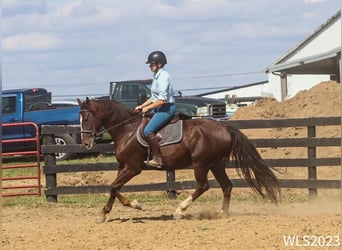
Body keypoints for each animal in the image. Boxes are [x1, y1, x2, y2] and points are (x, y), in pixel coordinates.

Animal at [77, 97, 280, 223]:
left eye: (86, 118)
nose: (86, 143)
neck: (126, 130)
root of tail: (224, 127)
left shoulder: (133, 168)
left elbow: (113, 186)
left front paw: (107, 213)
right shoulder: (123, 166)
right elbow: (115, 188)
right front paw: (128, 206)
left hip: (201, 164)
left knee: (203, 186)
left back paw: (180, 211)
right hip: (216, 164)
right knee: (227, 186)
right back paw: (222, 213)